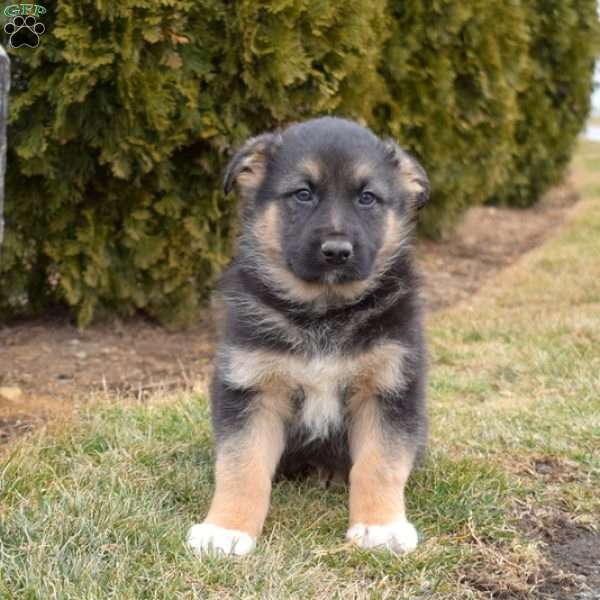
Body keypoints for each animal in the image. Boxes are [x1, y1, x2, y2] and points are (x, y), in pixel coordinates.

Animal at [188, 116, 426, 556]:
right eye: (303, 194)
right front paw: (225, 530)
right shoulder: (251, 386)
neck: (323, 311)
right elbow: (241, 466)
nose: (336, 251)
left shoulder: (389, 387)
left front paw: (380, 526)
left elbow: (380, 465)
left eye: (367, 198)